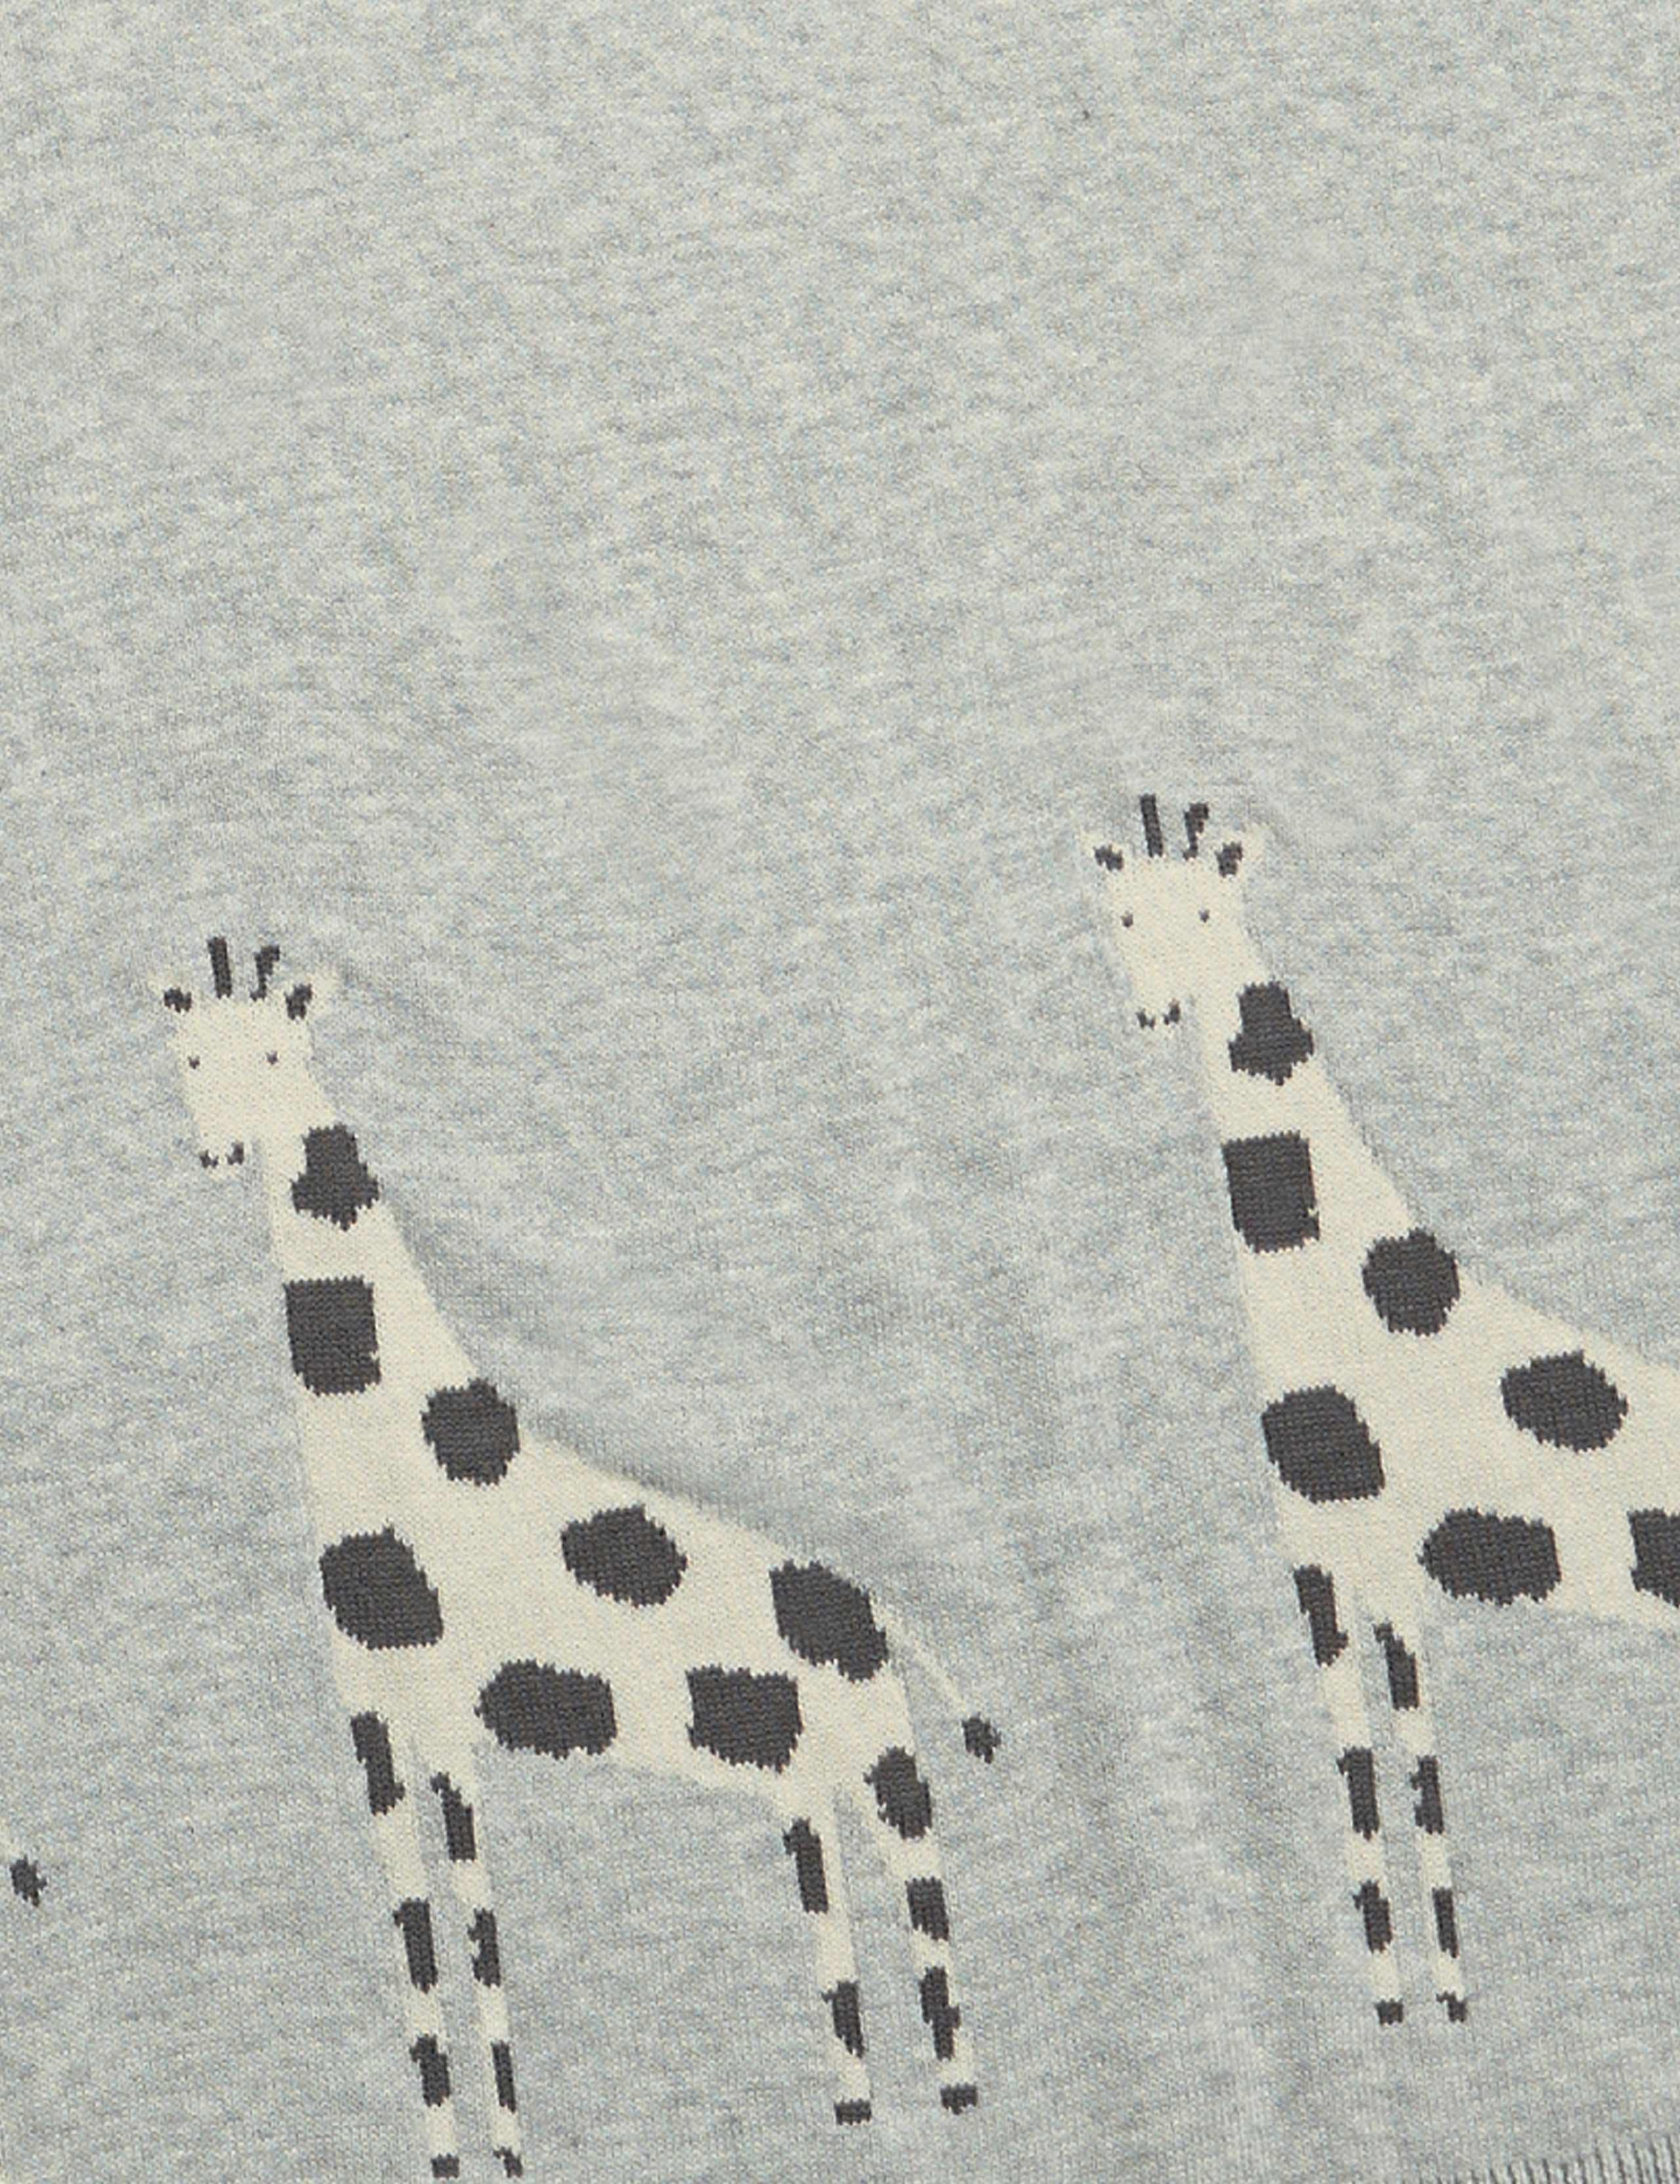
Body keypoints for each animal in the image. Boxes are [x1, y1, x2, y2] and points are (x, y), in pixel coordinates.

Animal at [156, 938, 998, 2180]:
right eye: (189, 1057)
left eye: (273, 1053)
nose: (216, 1150)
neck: (406, 1441)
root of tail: (878, 1612)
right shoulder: (371, 1718)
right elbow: (414, 1937)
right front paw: (446, 2146)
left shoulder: (448, 1719)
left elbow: (476, 1931)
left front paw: (505, 2145)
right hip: (806, 1772)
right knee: (835, 1903)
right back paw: (855, 2106)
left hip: (886, 1758)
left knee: (924, 1894)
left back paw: (957, 2089)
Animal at [1089, 795, 1680, 2030]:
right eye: (1122, 917)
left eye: (1209, 913)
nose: (1156, 1009)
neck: (1349, 1290)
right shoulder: (1348, 1569)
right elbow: (1392, 1782)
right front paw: (1422, 1997)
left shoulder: (1351, 1564)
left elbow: (1390, 1789)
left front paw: (1421, 2002)